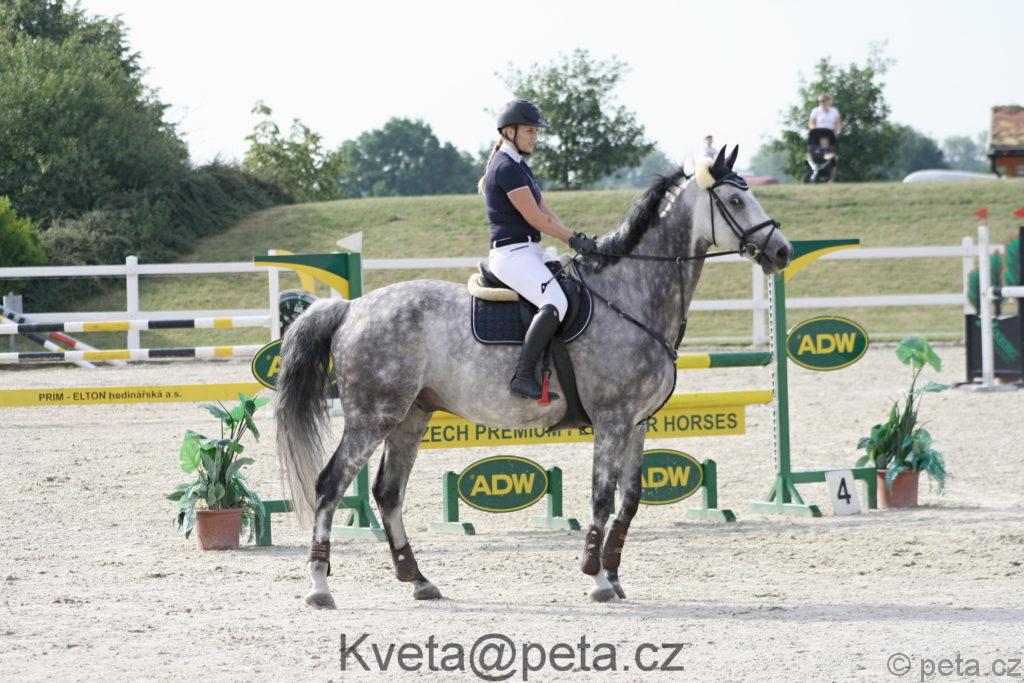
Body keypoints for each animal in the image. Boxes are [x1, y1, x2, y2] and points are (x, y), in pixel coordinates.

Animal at [274, 146, 792, 608]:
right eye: (736, 201)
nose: (783, 251)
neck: (632, 294)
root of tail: (350, 307)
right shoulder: (612, 420)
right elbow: (602, 497)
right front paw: (597, 580)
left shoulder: (638, 423)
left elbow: (629, 500)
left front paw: (614, 575)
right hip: (372, 417)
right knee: (331, 485)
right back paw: (319, 586)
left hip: (410, 416)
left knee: (387, 492)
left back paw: (418, 579)